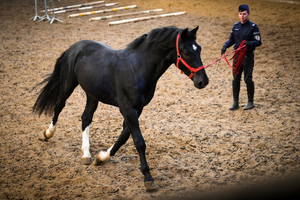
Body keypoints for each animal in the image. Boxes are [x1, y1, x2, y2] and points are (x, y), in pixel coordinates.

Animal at [32, 25, 209, 191]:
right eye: (185, 52)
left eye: (199, 48)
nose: (203, 81)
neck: (137, 68)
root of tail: (74, 47)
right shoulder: (127, 109)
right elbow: (139, 141)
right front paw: (148, 179)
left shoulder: (137, 109)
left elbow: (124, 137)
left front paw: (101, 157)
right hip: (67, 84)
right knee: (59, 106)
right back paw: (47, 134)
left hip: (92, 94)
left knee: (86, 117)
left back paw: (86, 155)